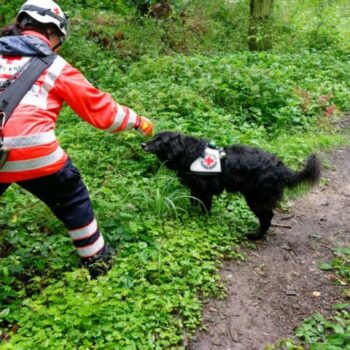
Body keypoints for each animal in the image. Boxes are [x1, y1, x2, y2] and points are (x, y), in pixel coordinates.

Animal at [141, 131, 322, 241]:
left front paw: (202, 223)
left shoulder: (205, 191)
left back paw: (255, 235)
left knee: (267, 217)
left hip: (255, 198)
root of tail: (281, 167)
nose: (142, 144)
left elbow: (204, 210)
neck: (189, 153)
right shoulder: (195, 189)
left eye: (160, 140)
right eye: (154, 137)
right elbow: (193, 203)